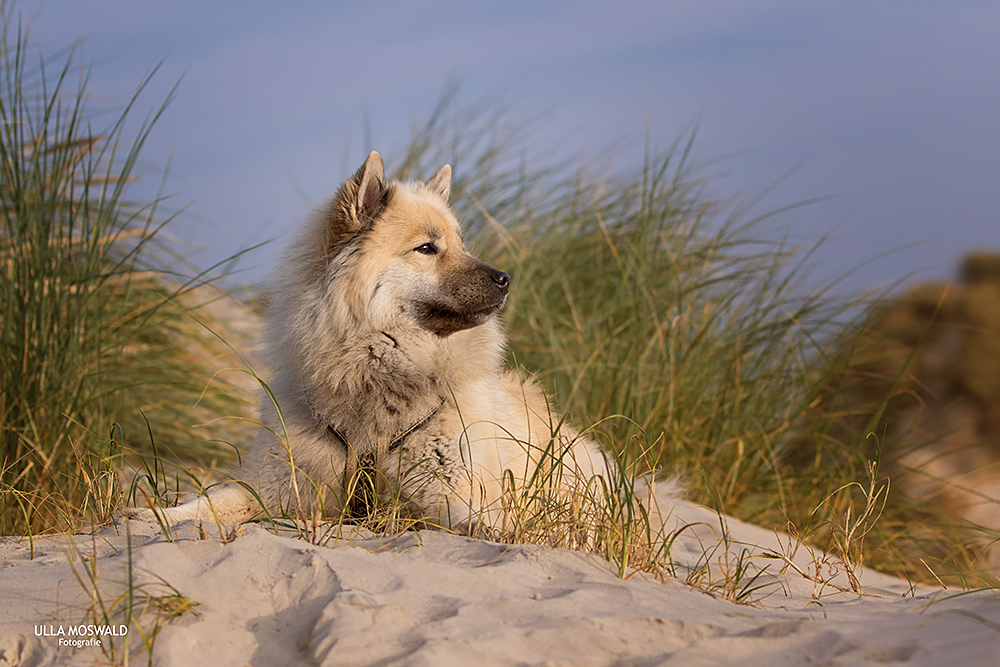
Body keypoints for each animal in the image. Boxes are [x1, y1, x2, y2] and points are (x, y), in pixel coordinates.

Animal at [125, 151, 608, 532]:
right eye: (427, 248)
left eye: (462, 246)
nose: (505, 279)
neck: (378, 376)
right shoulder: (278, 481)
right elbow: (213, 502)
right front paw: (157, 515)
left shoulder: (451, 492)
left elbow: (477, 524)